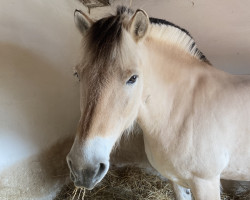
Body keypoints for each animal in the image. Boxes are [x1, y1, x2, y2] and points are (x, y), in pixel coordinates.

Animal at [67, 6, 250, 200]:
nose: (83, 169)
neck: (183, 109)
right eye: (77, 74)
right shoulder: (176, 181)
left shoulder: (205, 183)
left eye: (133, 78)